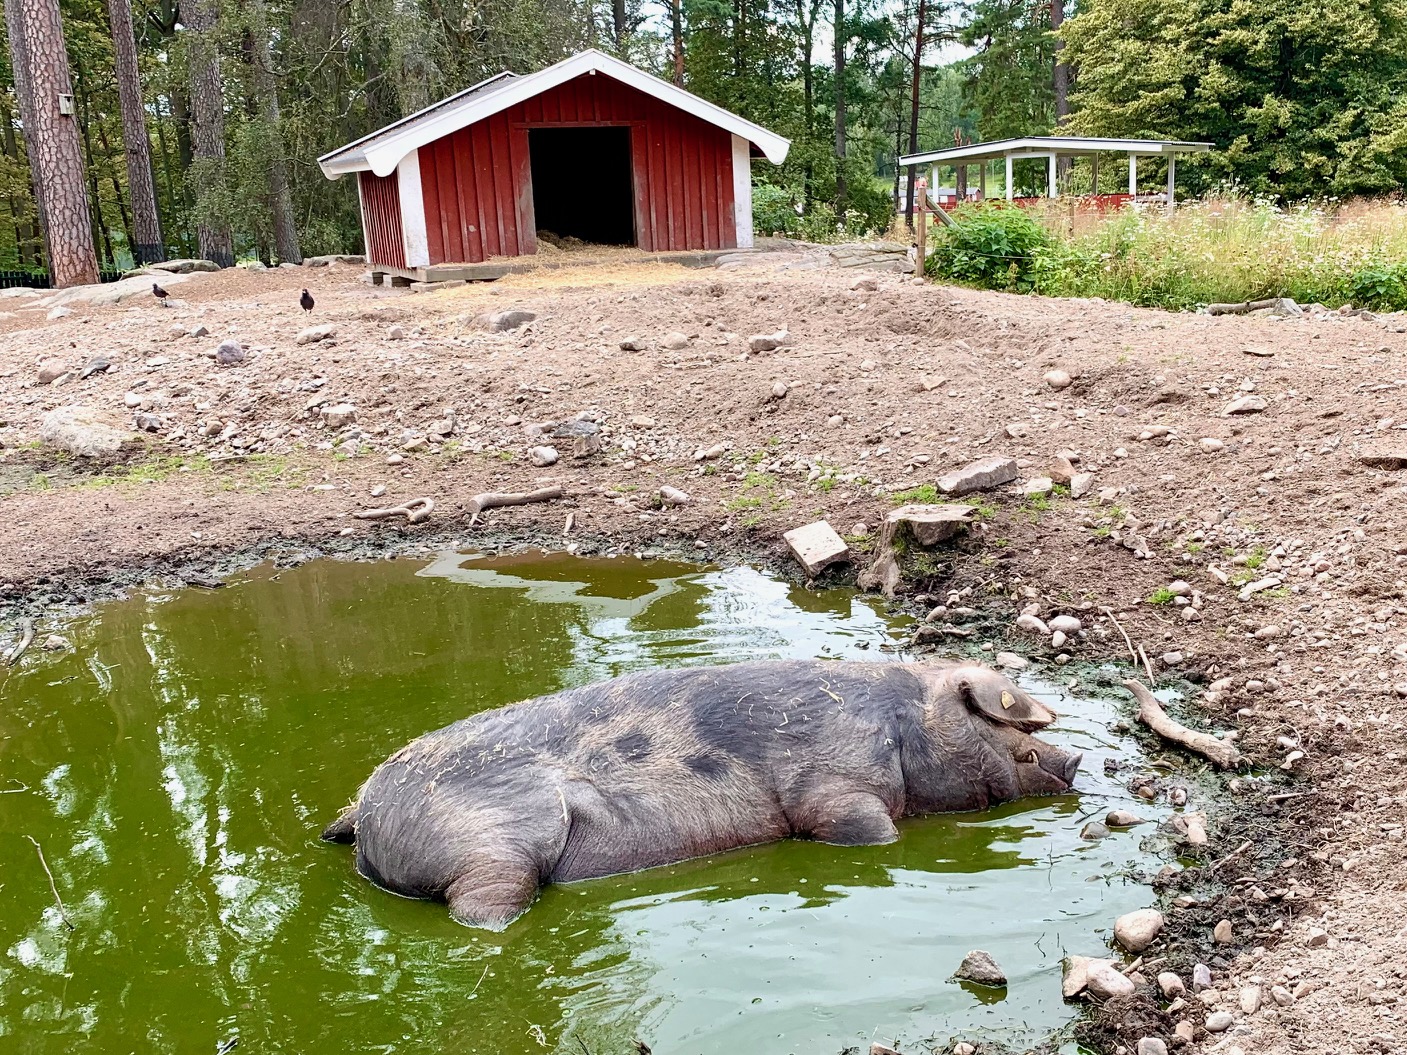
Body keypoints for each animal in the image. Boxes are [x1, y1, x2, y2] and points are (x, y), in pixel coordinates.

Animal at [323, 663, 1080, 928]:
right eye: (1003, 726)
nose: (1075, 756)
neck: (901, 725)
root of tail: (365, 814)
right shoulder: (831, 786)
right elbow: (862, 827)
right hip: (491, 843)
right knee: (482, 903)